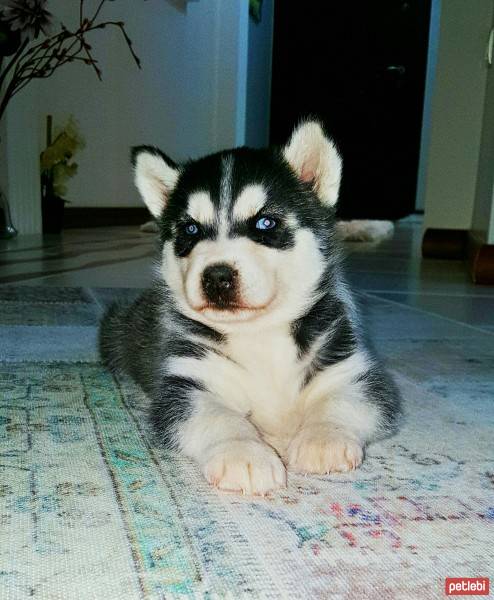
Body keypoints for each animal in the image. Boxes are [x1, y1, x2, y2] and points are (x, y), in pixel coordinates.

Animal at [100, 119, 402, 494]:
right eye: (190, 229)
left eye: (265, 223)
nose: (216, 277)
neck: (259, 332)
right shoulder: (185, 386)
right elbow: (219, 417)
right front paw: (242, 453)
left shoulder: (354, 371)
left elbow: (342, 401)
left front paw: (323, 437)